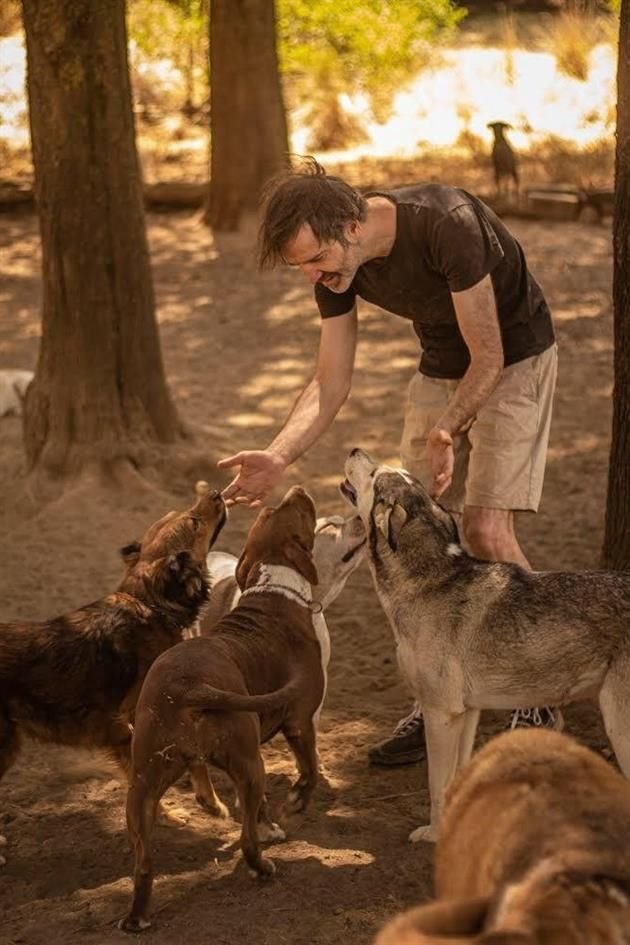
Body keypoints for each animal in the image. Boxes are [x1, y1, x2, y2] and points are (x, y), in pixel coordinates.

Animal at [0, 486, 227, 864]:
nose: (216, 492)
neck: (151, 605)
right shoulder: (137, 721)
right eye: (193, 521)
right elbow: (156, 773)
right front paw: (197, 807)